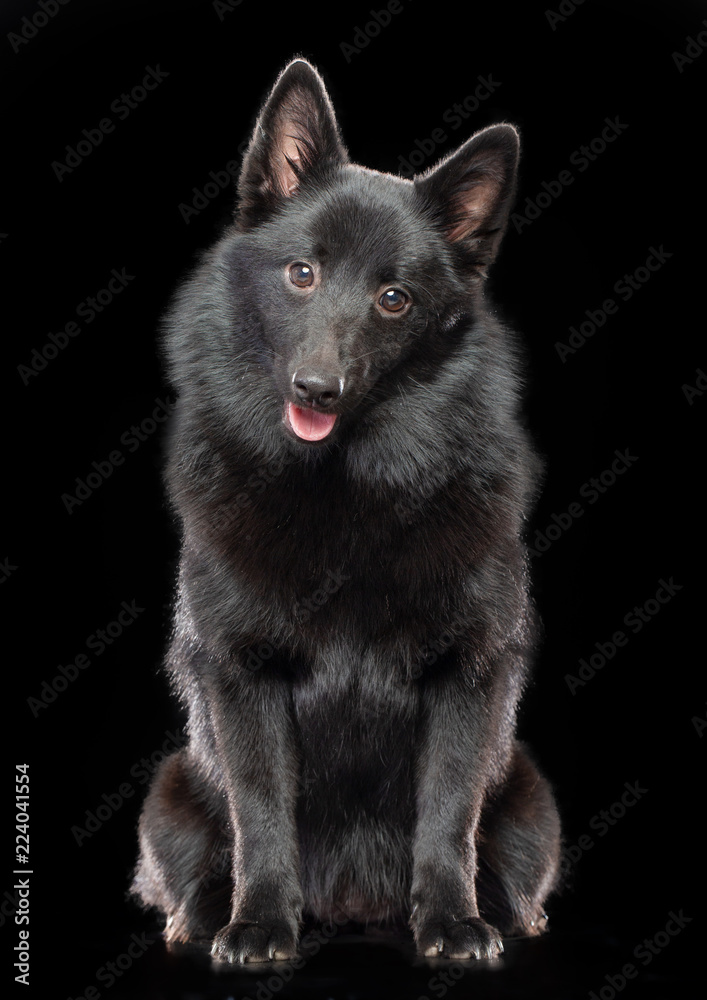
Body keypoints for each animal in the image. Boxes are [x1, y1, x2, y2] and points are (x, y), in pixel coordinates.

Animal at [131, 58, 564, 964]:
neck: (346, 492)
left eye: (393, 298)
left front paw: (451, 923)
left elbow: (447, 812)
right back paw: (200, 919)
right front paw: (259, 925)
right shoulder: (242, 676)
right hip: (172, 793)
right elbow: (262, 810)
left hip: (529, 800)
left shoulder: (467, 675)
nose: (316, 390)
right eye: (302, 274)